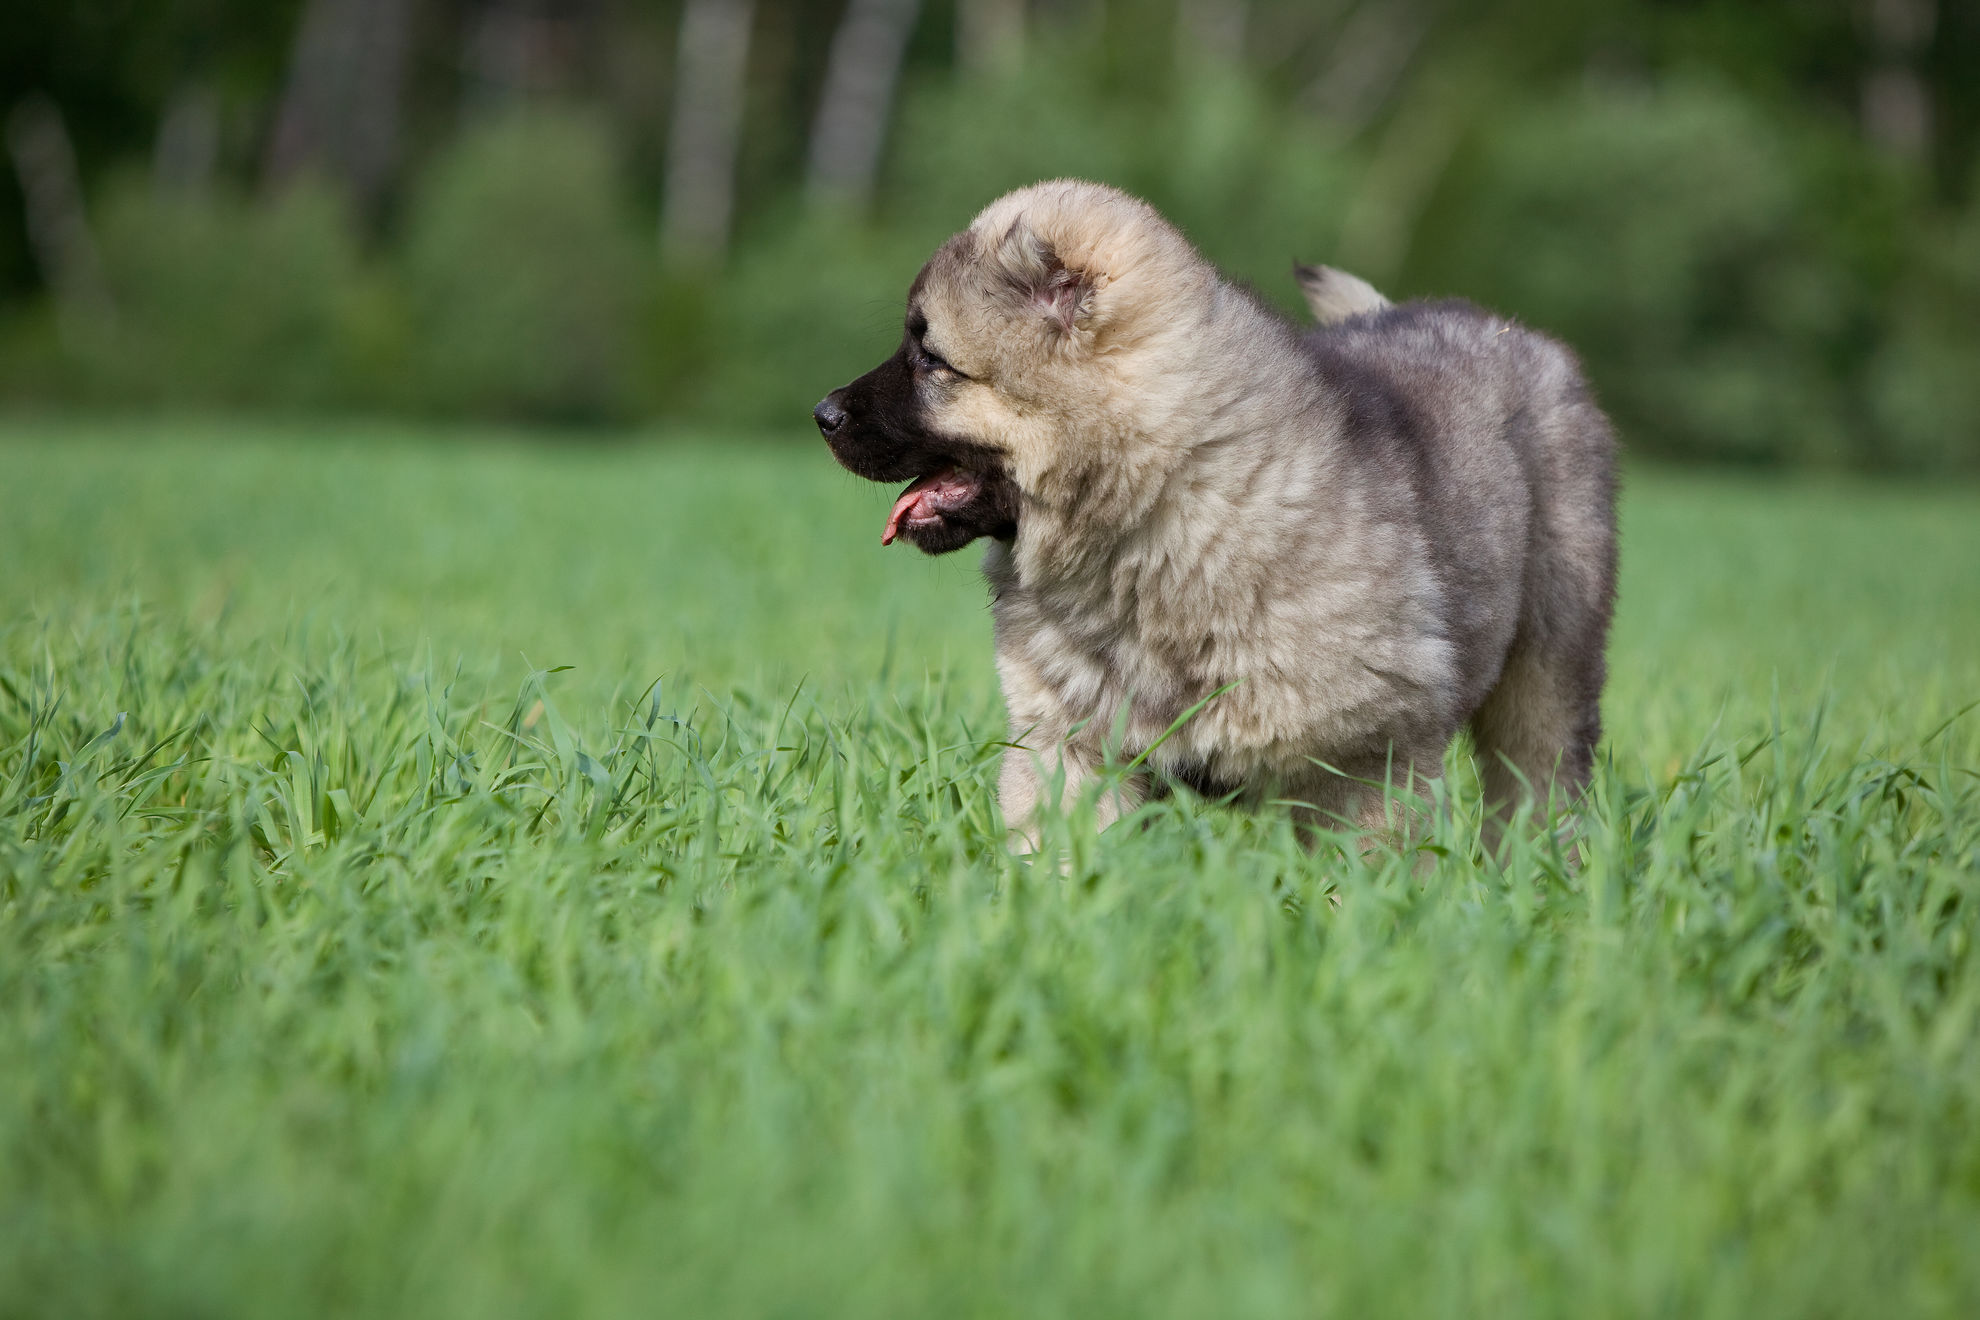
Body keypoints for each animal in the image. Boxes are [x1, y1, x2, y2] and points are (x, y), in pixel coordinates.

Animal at [811, 181, 1615, 850]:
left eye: (931, 358)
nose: (822, 414)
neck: (1157, 507)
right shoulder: (1069, 748)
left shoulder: (1366, 765)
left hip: (1550, 664)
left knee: (1539, 783)